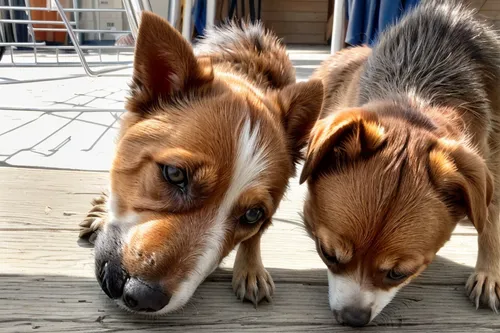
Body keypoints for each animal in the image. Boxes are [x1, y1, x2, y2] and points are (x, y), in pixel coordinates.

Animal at [76, 12, 322, 314]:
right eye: (174, 174)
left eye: (252, 215)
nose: (144, 297)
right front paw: (103, 211)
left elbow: (255, 237)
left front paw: (251, 268)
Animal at [298, 0, 500, 326]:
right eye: (327, 254)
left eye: (399, 274)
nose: (353, 318)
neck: (415, 97)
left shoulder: (490, 158)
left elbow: (492, 216)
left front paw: (489, 272)